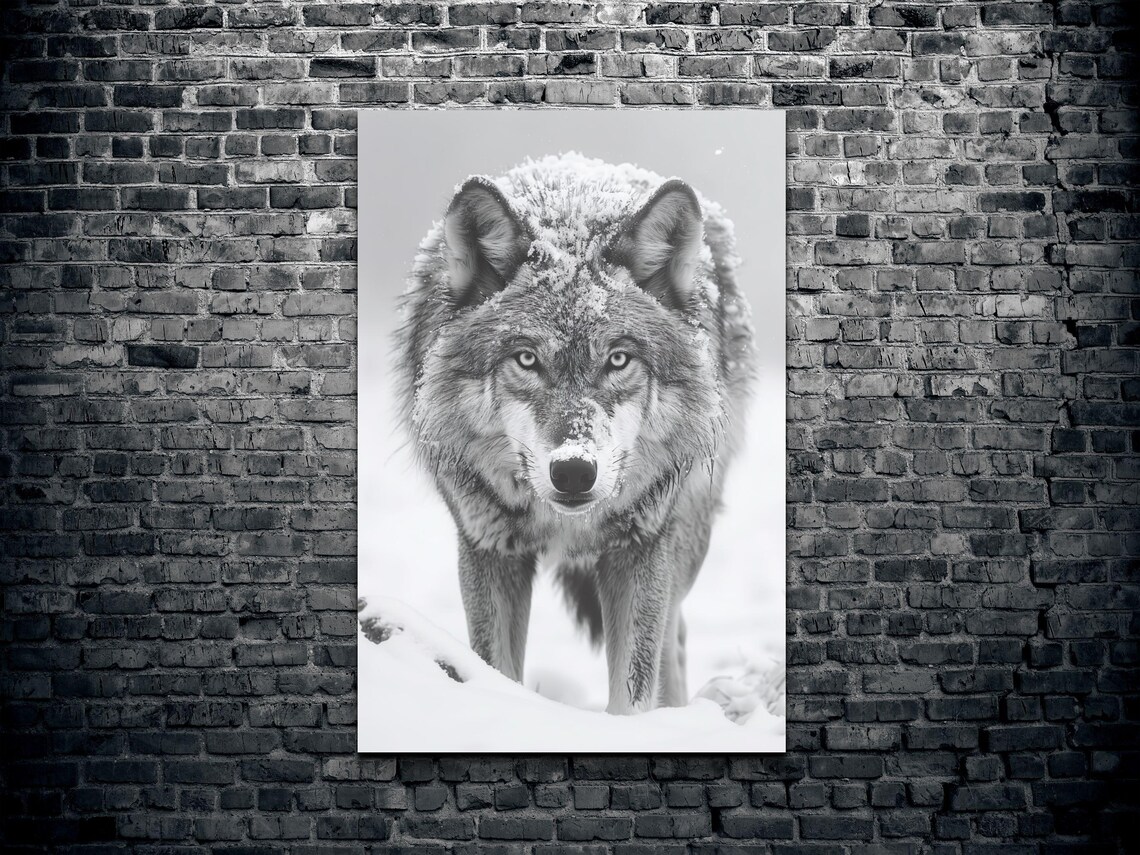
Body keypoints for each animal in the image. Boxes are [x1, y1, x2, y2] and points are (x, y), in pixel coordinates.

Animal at [395, 153, 755, 714]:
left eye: (618, 360)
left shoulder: (639, 547)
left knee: (673, 636)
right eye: (527, 359)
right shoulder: (489, 550)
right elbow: (496, 671)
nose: (572, 472)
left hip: (685, 534)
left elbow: (633, 691)